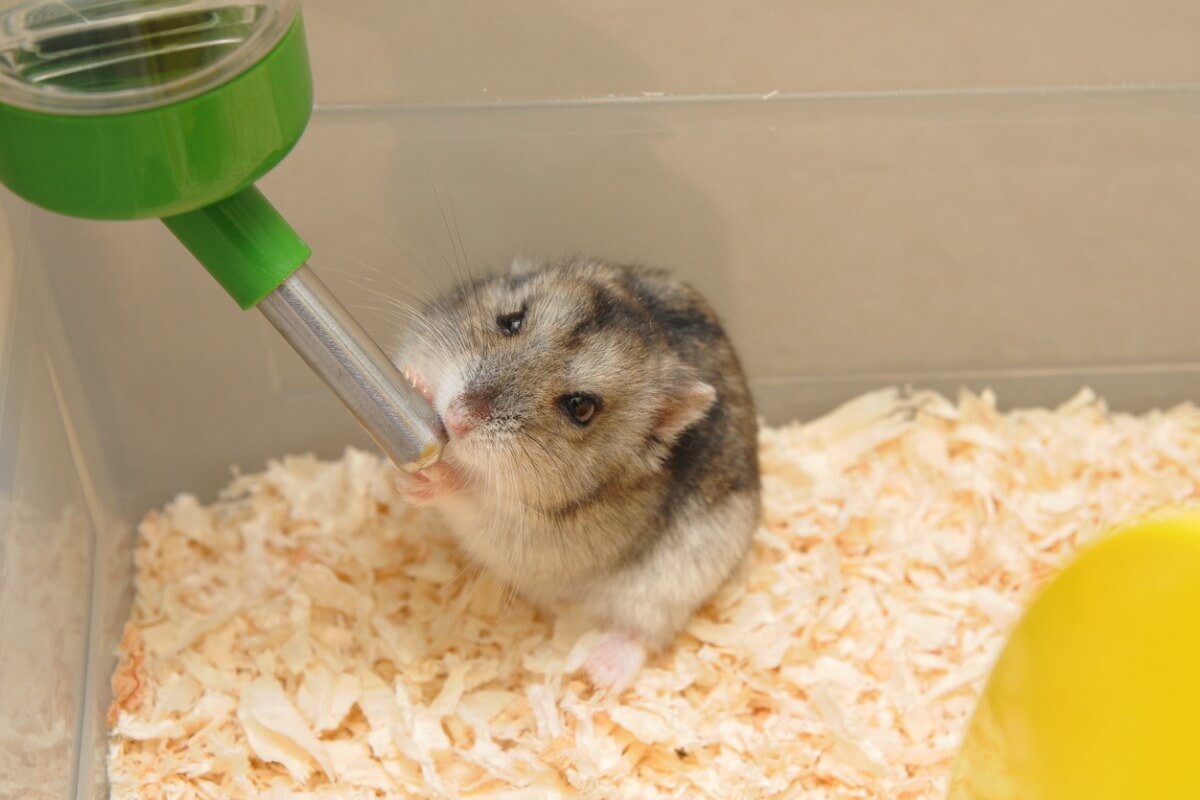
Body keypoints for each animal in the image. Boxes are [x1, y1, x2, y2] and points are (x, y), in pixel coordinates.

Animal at [392, 257, 760, 691]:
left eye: (581, 407)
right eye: (511, 321)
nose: (456, 419)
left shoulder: (527, 530)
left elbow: (472, 494)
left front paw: (429, 478)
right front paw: (414, 381)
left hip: (672, 585)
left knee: (644, 630)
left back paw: (600, 674)